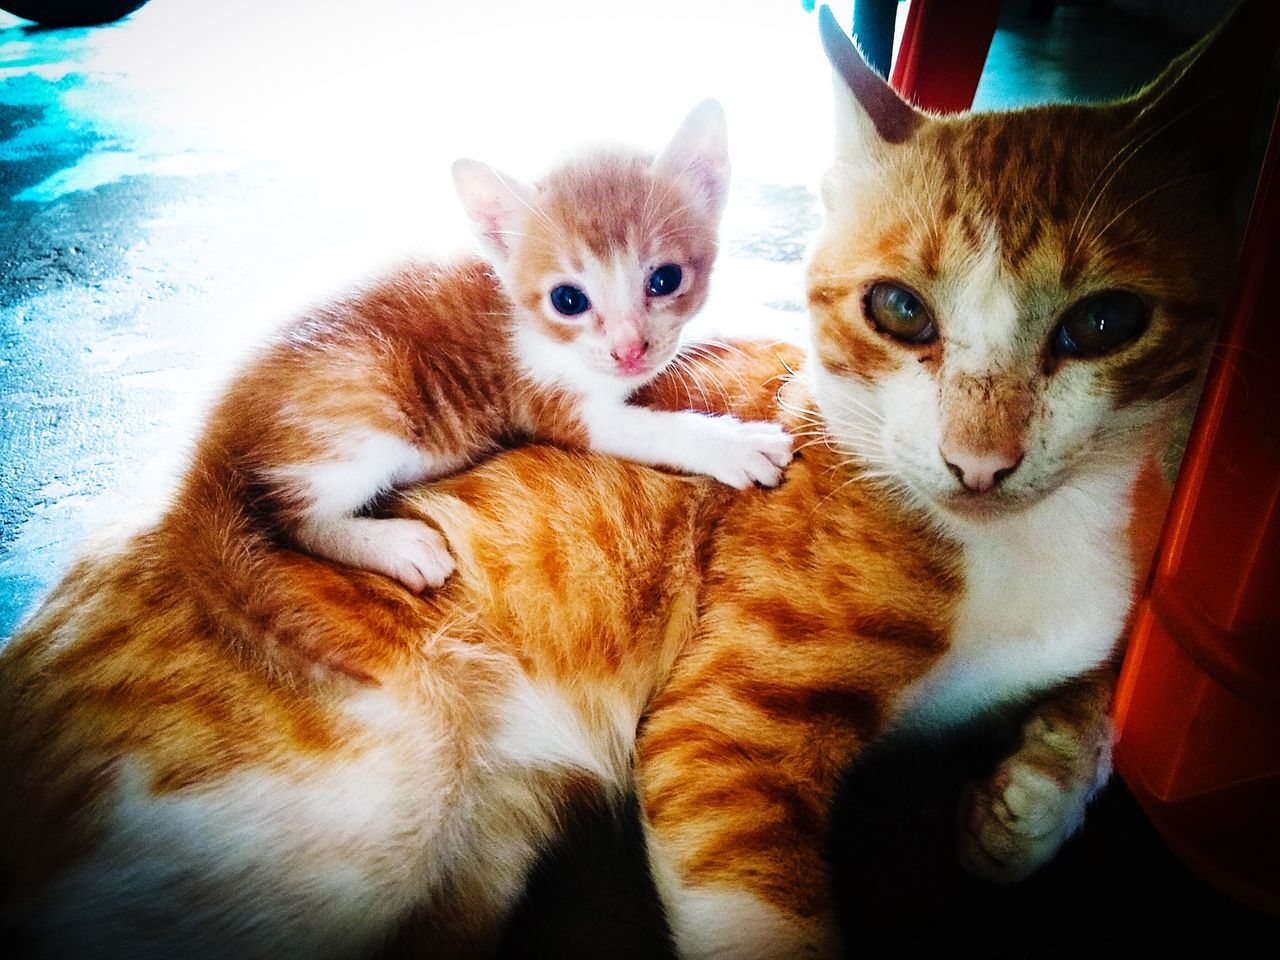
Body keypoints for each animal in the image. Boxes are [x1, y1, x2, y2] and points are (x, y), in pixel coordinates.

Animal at [230, 97, 788, 593]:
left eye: (666, 279)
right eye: (568, 299)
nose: (629, 350)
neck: (524, 316)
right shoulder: (548, 399)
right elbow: (648, 429)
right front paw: (735, 445)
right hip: (367, 395)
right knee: (291, 519)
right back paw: (396, 547)